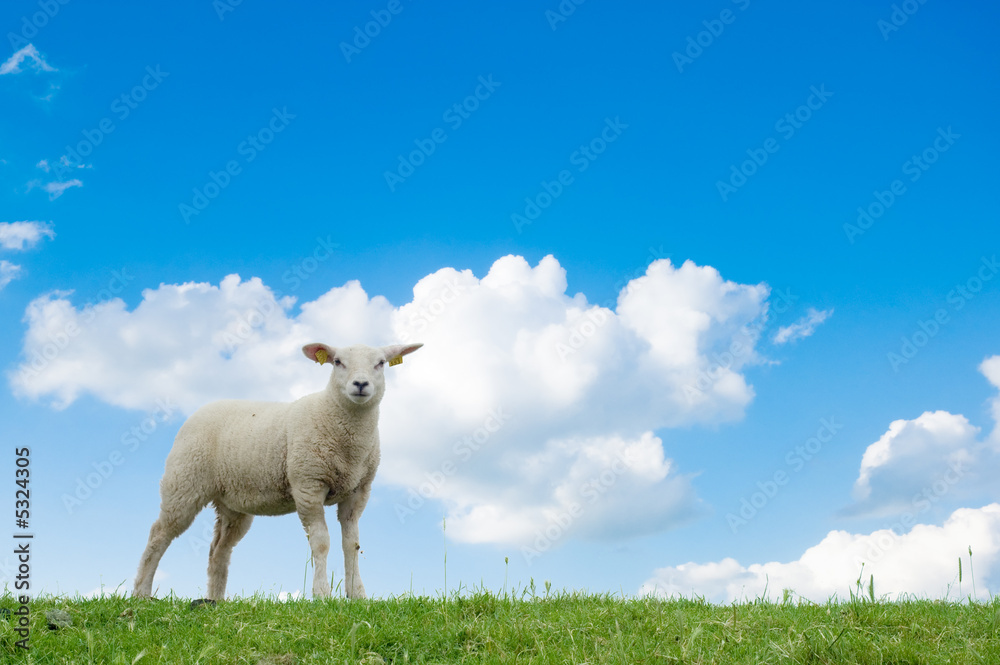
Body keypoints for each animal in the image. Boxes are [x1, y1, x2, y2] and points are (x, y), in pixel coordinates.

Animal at [133, 342, 422, 601]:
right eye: (338, 361)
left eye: (381, 362)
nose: (360, 384)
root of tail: (199, 411)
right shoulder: (308, 485)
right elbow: (321, 542)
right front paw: (322, 594)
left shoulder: (358, 491)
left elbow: (351, 544)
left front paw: (358, 594)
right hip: (184, 483)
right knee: (159, 534)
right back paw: (141, 593)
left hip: (232, 504)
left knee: (219, 550)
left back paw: (216, 601)